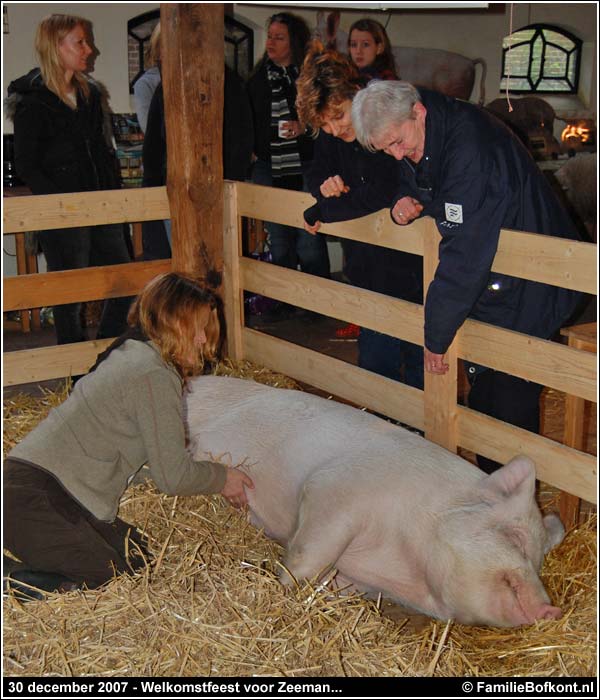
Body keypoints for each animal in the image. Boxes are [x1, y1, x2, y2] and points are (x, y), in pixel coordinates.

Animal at [185, 378, 564, 628]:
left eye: (540, 561)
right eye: (515, 539)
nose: (551, 610)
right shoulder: (331, 489)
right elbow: (308, 556)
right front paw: (283, 591)